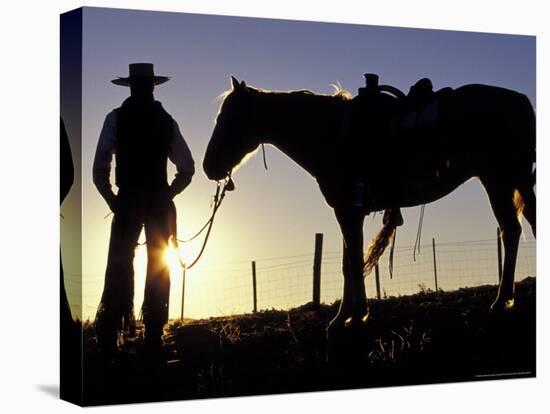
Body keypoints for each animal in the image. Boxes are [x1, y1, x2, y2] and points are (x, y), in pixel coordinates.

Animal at [205, 76, 536, 328]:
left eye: (228, 119)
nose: (209, 167)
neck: (329, 134)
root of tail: (520, 101)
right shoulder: (351, 212)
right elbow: (348, 261)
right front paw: (348, 314)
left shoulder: (347, 211)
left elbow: (353, 262)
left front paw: (351, 316)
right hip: (516, 181)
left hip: (498, 180)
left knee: (511, 231)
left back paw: (501, 301)